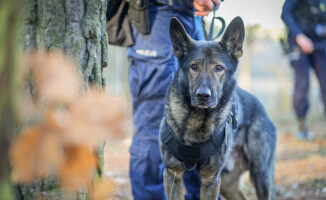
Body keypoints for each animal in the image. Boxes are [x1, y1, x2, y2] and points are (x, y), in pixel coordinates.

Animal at [159, 17, 276, 200]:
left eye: (219, 68)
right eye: (194, 67)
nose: (203, 95)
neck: (197, 120)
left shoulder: (210, 180)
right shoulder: (172, 175)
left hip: (260, 174)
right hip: (227, 183)